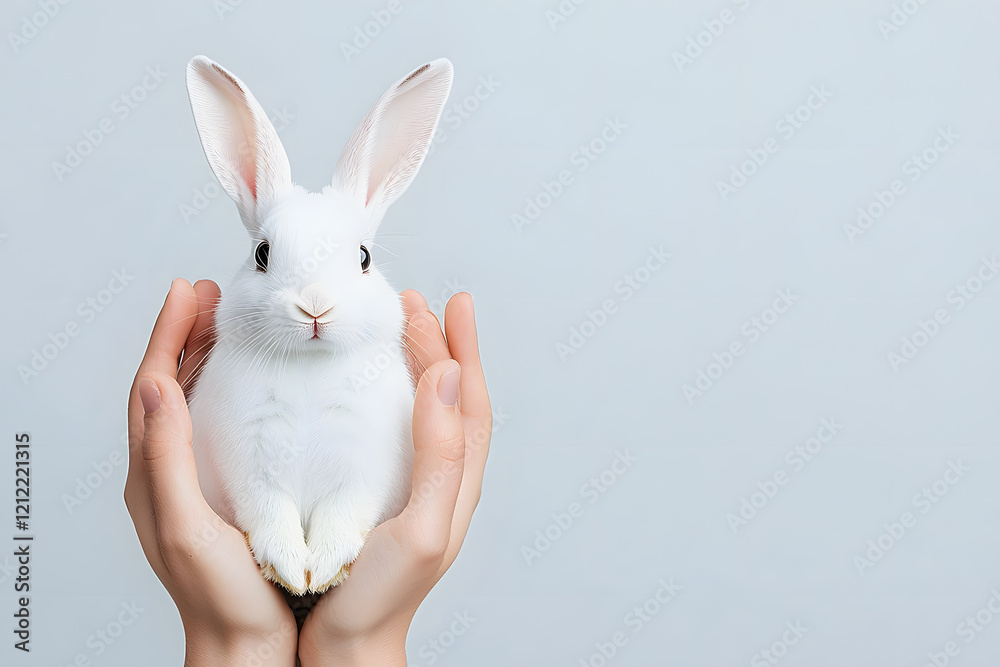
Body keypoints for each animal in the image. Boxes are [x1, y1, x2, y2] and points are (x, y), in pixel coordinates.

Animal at [183, 55, 453, 595]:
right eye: (262, 254)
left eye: (364, 257)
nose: (315, 308)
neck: (309, 367)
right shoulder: (248, 464)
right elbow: (268, 514)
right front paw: (291, 571)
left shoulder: (364, 467)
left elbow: (343, 515)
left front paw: (323, 570)